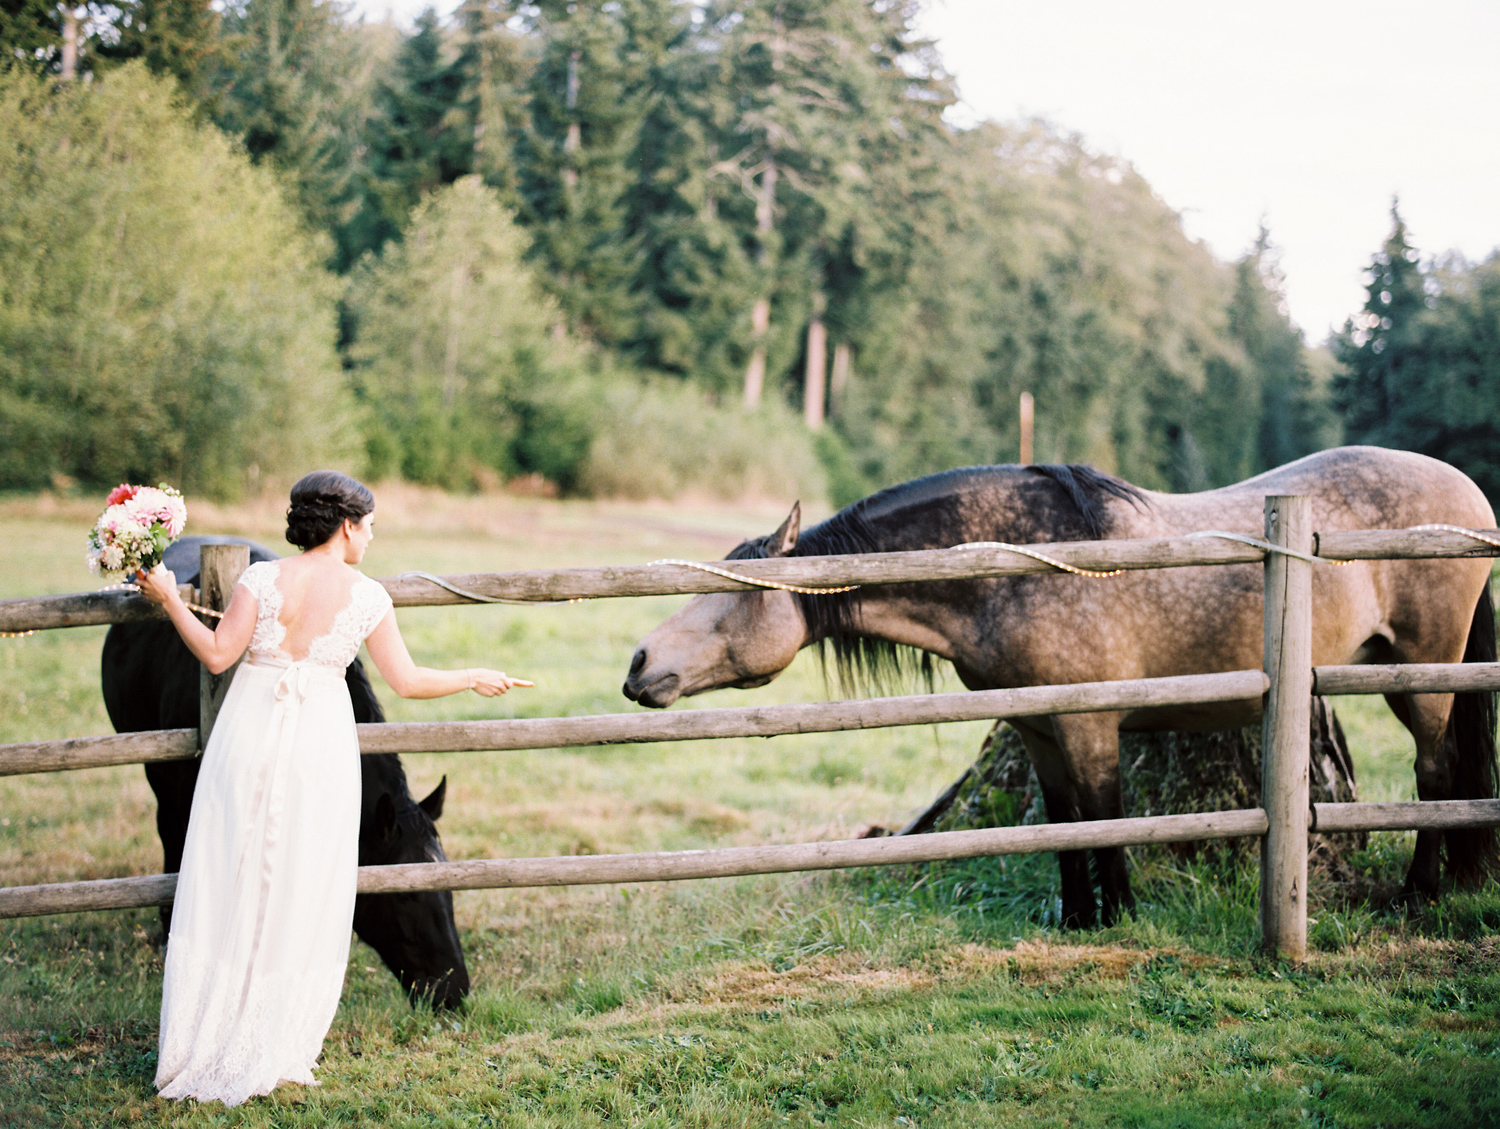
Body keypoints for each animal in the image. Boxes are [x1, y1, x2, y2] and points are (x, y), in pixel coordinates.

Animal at [618, 446, 1488, 923]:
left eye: (733, 593)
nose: (638, 663)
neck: (1018, 565)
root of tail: (1472, 500)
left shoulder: (1090, 724)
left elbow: (1104, 817)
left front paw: (1121, 913)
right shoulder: (1038, 728)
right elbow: (1064, 820)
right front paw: (1077, 918)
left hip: (1419, 674)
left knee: (1437, 768)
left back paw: (1420, 892)